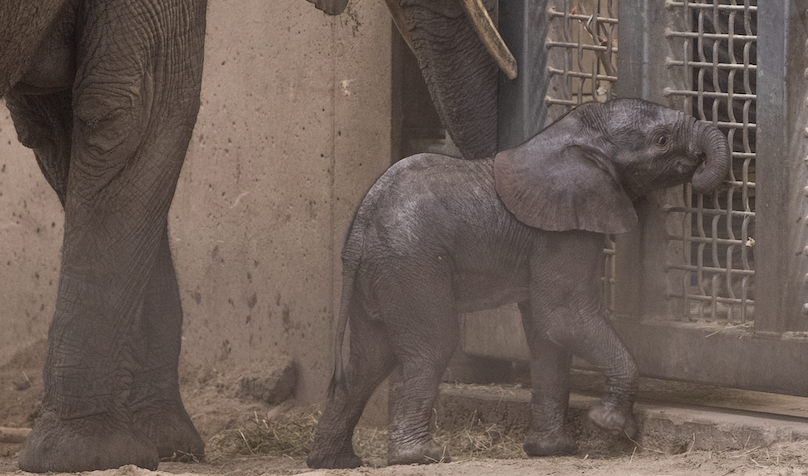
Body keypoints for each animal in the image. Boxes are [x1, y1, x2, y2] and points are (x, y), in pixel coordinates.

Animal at [308, 97, 732, 468]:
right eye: (661, 140)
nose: (703, 175)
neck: (572, 136)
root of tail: (360, 227)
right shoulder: (564, 233)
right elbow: (562, 318)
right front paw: (609, 425)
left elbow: (547, 337)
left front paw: (553, 450)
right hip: (411, 264)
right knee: (430, 347)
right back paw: (422, 456)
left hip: (379, 273)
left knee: (367, 361)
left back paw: (334, 461)